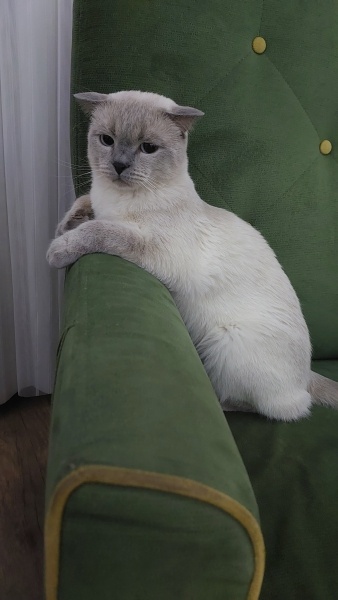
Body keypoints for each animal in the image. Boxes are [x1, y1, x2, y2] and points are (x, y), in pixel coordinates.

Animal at [46, 90, 338, 422]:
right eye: (107, 140)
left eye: (148, 148)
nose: (119, 165)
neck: (115, 199)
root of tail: (307, 375)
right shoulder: (98, 204)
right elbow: (83, 206)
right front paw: (66, 226)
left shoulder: (150, 246)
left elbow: (100, 231)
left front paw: (57, 251)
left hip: (225, 343)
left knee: (269, 407)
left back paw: (218, 400)